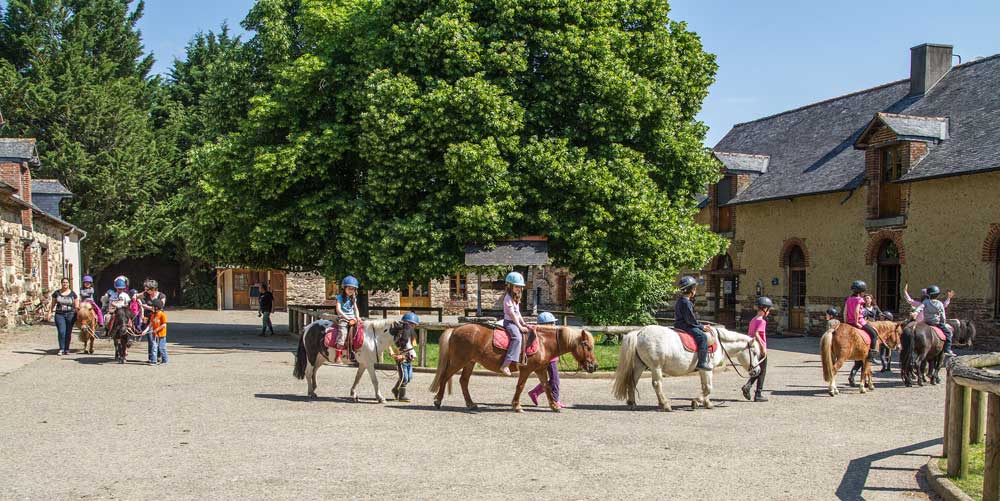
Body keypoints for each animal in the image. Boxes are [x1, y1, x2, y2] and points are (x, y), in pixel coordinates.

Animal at [428, 322, 596, 412]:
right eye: (587, 346)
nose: (594, 366)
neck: (543, 342)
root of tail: (455, 330)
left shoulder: (540, 369)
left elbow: (547, 386)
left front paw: (554, 406)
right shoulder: (526, 370)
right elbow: (520, 386)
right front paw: (516, 406)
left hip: (470, 362)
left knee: (463, 381)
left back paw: (471, 404)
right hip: (459, 361)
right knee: (445, 376)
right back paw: (438, 401)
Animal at [612, 324, 760, 410]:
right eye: (754, 353)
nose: (757, 371)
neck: (719, 342)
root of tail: (639, 332)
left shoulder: (703, 370)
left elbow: (705, 386)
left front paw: (707, 403)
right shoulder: (707, 369)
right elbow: (708, 387)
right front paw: (696, 402)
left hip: (640, 365)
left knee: (633, 381)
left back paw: (632, 402)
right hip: (656, 367)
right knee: (657, 384)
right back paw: (665, 404)